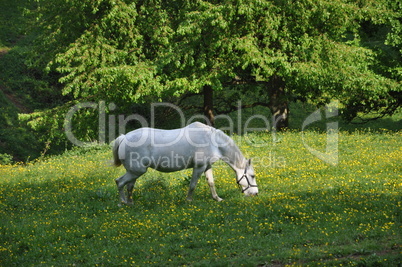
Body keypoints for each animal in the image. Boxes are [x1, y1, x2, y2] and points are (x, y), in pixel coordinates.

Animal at [111, 122, 260, 206]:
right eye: (252, 176)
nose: (255, 193)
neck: (213, 142)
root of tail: (124, 137)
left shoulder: (207, 166)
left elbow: (211, 183)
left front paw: (217, 199)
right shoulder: (199, 167)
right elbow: (192, 185)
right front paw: (188, 201)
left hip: (134, 172)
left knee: (129, 186)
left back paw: (130, 203)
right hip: (137, 171)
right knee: (120, 182)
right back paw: (122, 203)